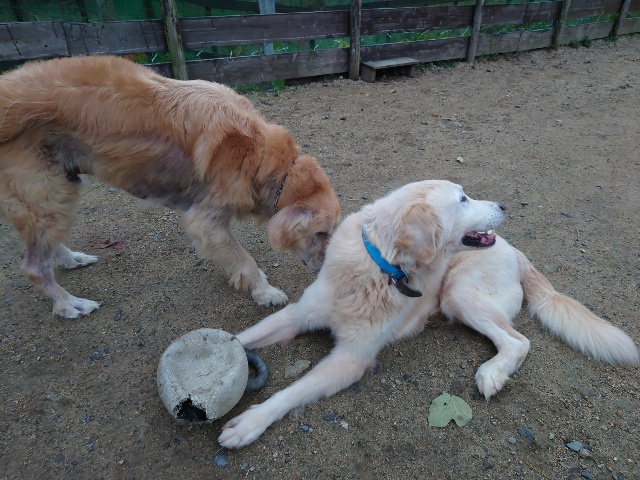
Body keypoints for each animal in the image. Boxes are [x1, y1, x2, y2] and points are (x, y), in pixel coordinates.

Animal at [0, 56, 340, 318]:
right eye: (321, 233)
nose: (328, 269)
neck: (260, 156)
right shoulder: (205, 220)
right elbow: (245, 259)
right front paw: (265, 292)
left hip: (57, 190)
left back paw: (71, 259)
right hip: (46, 193)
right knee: (33, 267)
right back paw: (69, 304)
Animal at [218, 180, 638, 448]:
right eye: (463, 199)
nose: (503, 206)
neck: (380, 268)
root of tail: (516, 252)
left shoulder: (351, 359)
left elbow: (290, 393)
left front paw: (249, 423)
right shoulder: (297, 316)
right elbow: (238, 339)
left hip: (459, 294)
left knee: (519, 341)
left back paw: (492, 374)